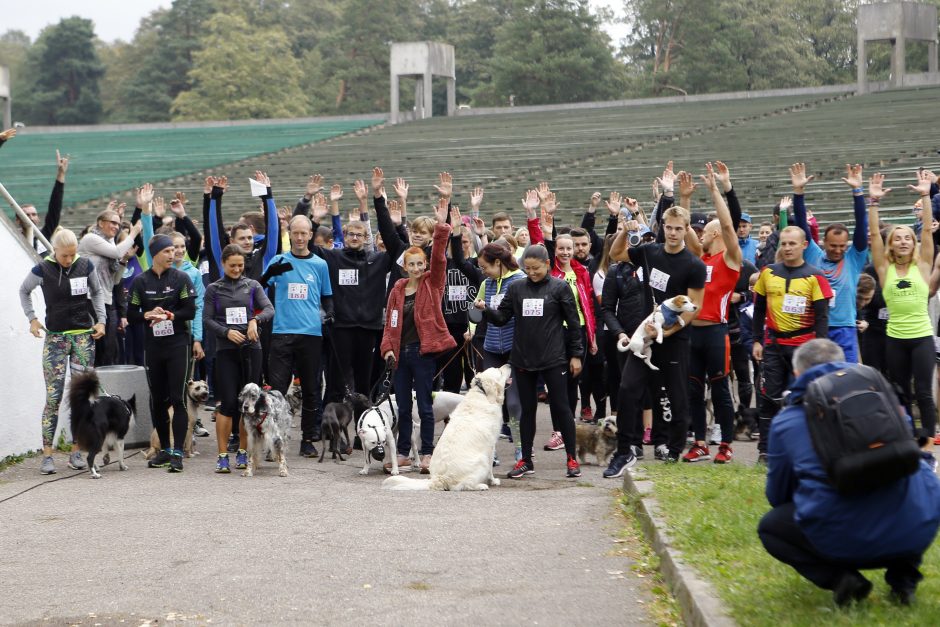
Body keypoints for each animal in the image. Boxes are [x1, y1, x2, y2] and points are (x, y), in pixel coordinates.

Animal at [382, 366, 510, 494]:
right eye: (500, 371)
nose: (508, 365)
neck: (482, 394)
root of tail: (440, 479)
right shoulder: (490, 446)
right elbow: (490, 468)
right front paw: (493, 481)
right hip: (481, 460)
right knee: (463, 486)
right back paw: (480, 486)